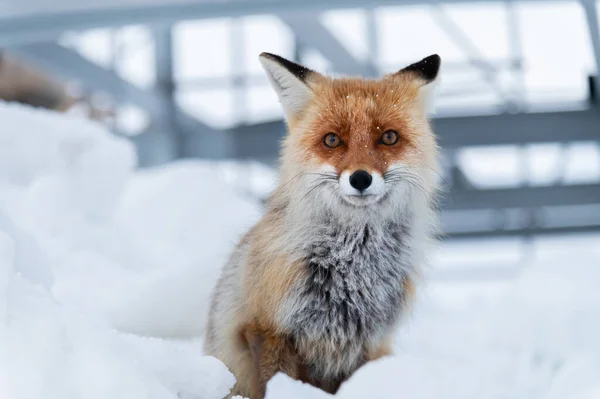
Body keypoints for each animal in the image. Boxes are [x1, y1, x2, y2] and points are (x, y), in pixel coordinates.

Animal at [204, 53, 442, 399]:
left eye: (388, 137)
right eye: (332, 140)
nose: (360, 178)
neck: (352, 266)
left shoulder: (370, 342)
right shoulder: (266, 329)